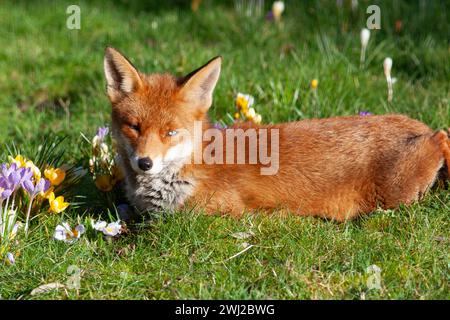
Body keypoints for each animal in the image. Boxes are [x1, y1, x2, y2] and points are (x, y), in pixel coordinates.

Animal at [103, 47, 450, 221]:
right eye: (134, 126)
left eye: (171, 131)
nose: (144, 163)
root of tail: (416, 124)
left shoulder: (215, 214)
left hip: (394, 194)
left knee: (443, 135)